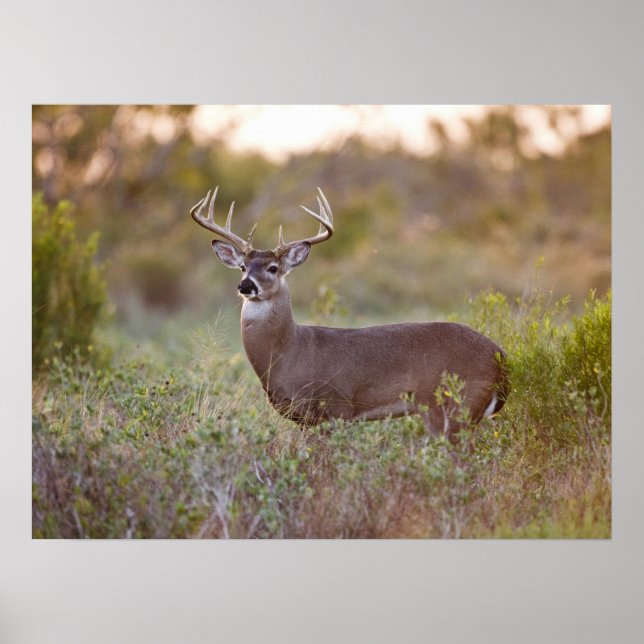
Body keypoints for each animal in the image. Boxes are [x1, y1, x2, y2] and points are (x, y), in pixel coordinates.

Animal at [191, 186, 509, 439]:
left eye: (272, 268)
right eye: (243, 267)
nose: (246, 285)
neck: (289, 352)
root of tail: (501, 356)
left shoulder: (336, 408)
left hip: (454, 406)